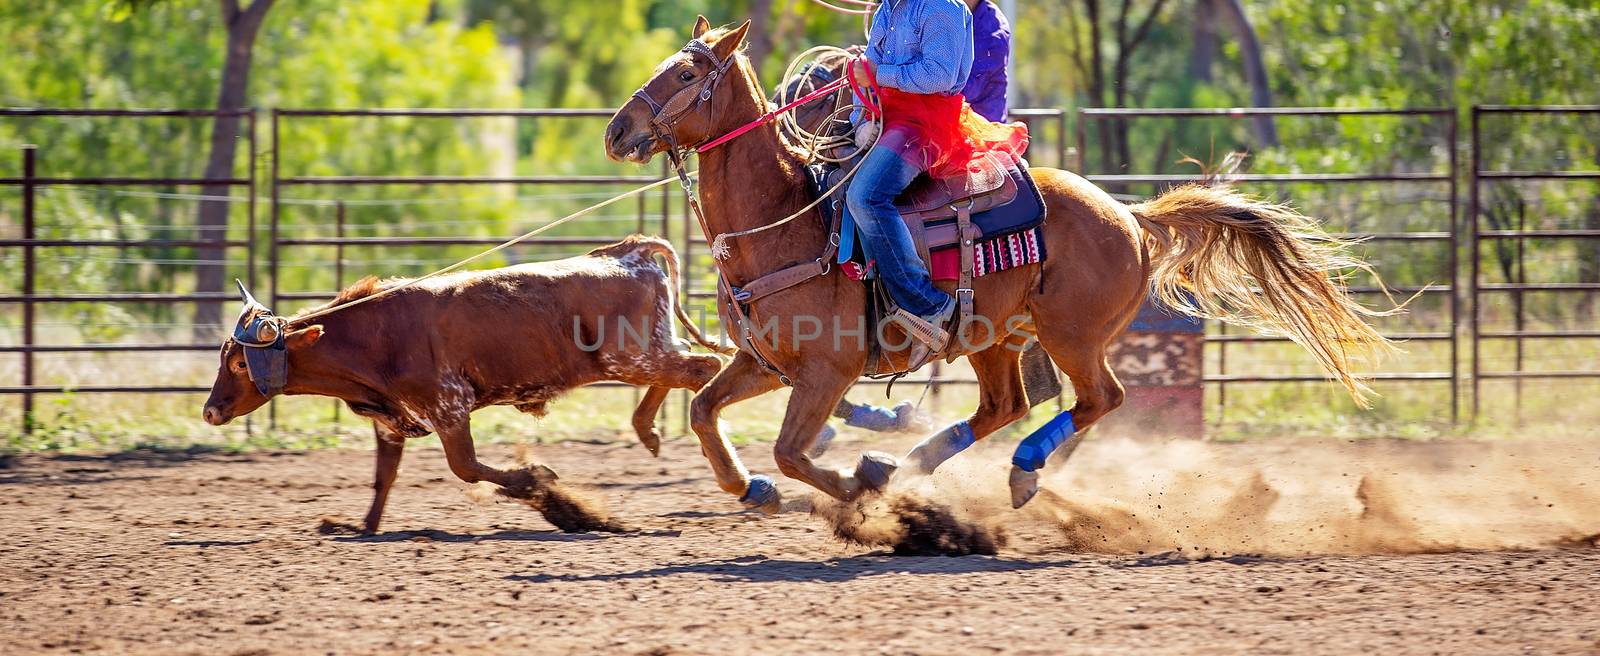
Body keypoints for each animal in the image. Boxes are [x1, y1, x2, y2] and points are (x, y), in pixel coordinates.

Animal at [201, 235, 726, 534]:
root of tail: (627, 253)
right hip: (647, 351)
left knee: (702, 369)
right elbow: (384, 475)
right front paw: (361, 526)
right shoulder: (391, 420)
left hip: (631, 357)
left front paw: (539, 483)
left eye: (242, 365)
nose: (209, 411)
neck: (375, 333)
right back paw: (648, 430)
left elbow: (466, 467)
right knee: (690, 365)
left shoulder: (449, 405)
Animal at [604, 19, 1395, 508]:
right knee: (1006, 405)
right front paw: (754, 491)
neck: (788, 224)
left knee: (1097, 400)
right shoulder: (766, 362)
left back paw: (1012, 471)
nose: (617, 129)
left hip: (1072, 335)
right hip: (994, 336)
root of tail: (1130, 215)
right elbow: (705, 412)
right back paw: (911, 464)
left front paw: (852, 494)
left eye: (684, 72)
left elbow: (792, 452)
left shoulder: (826, 370)